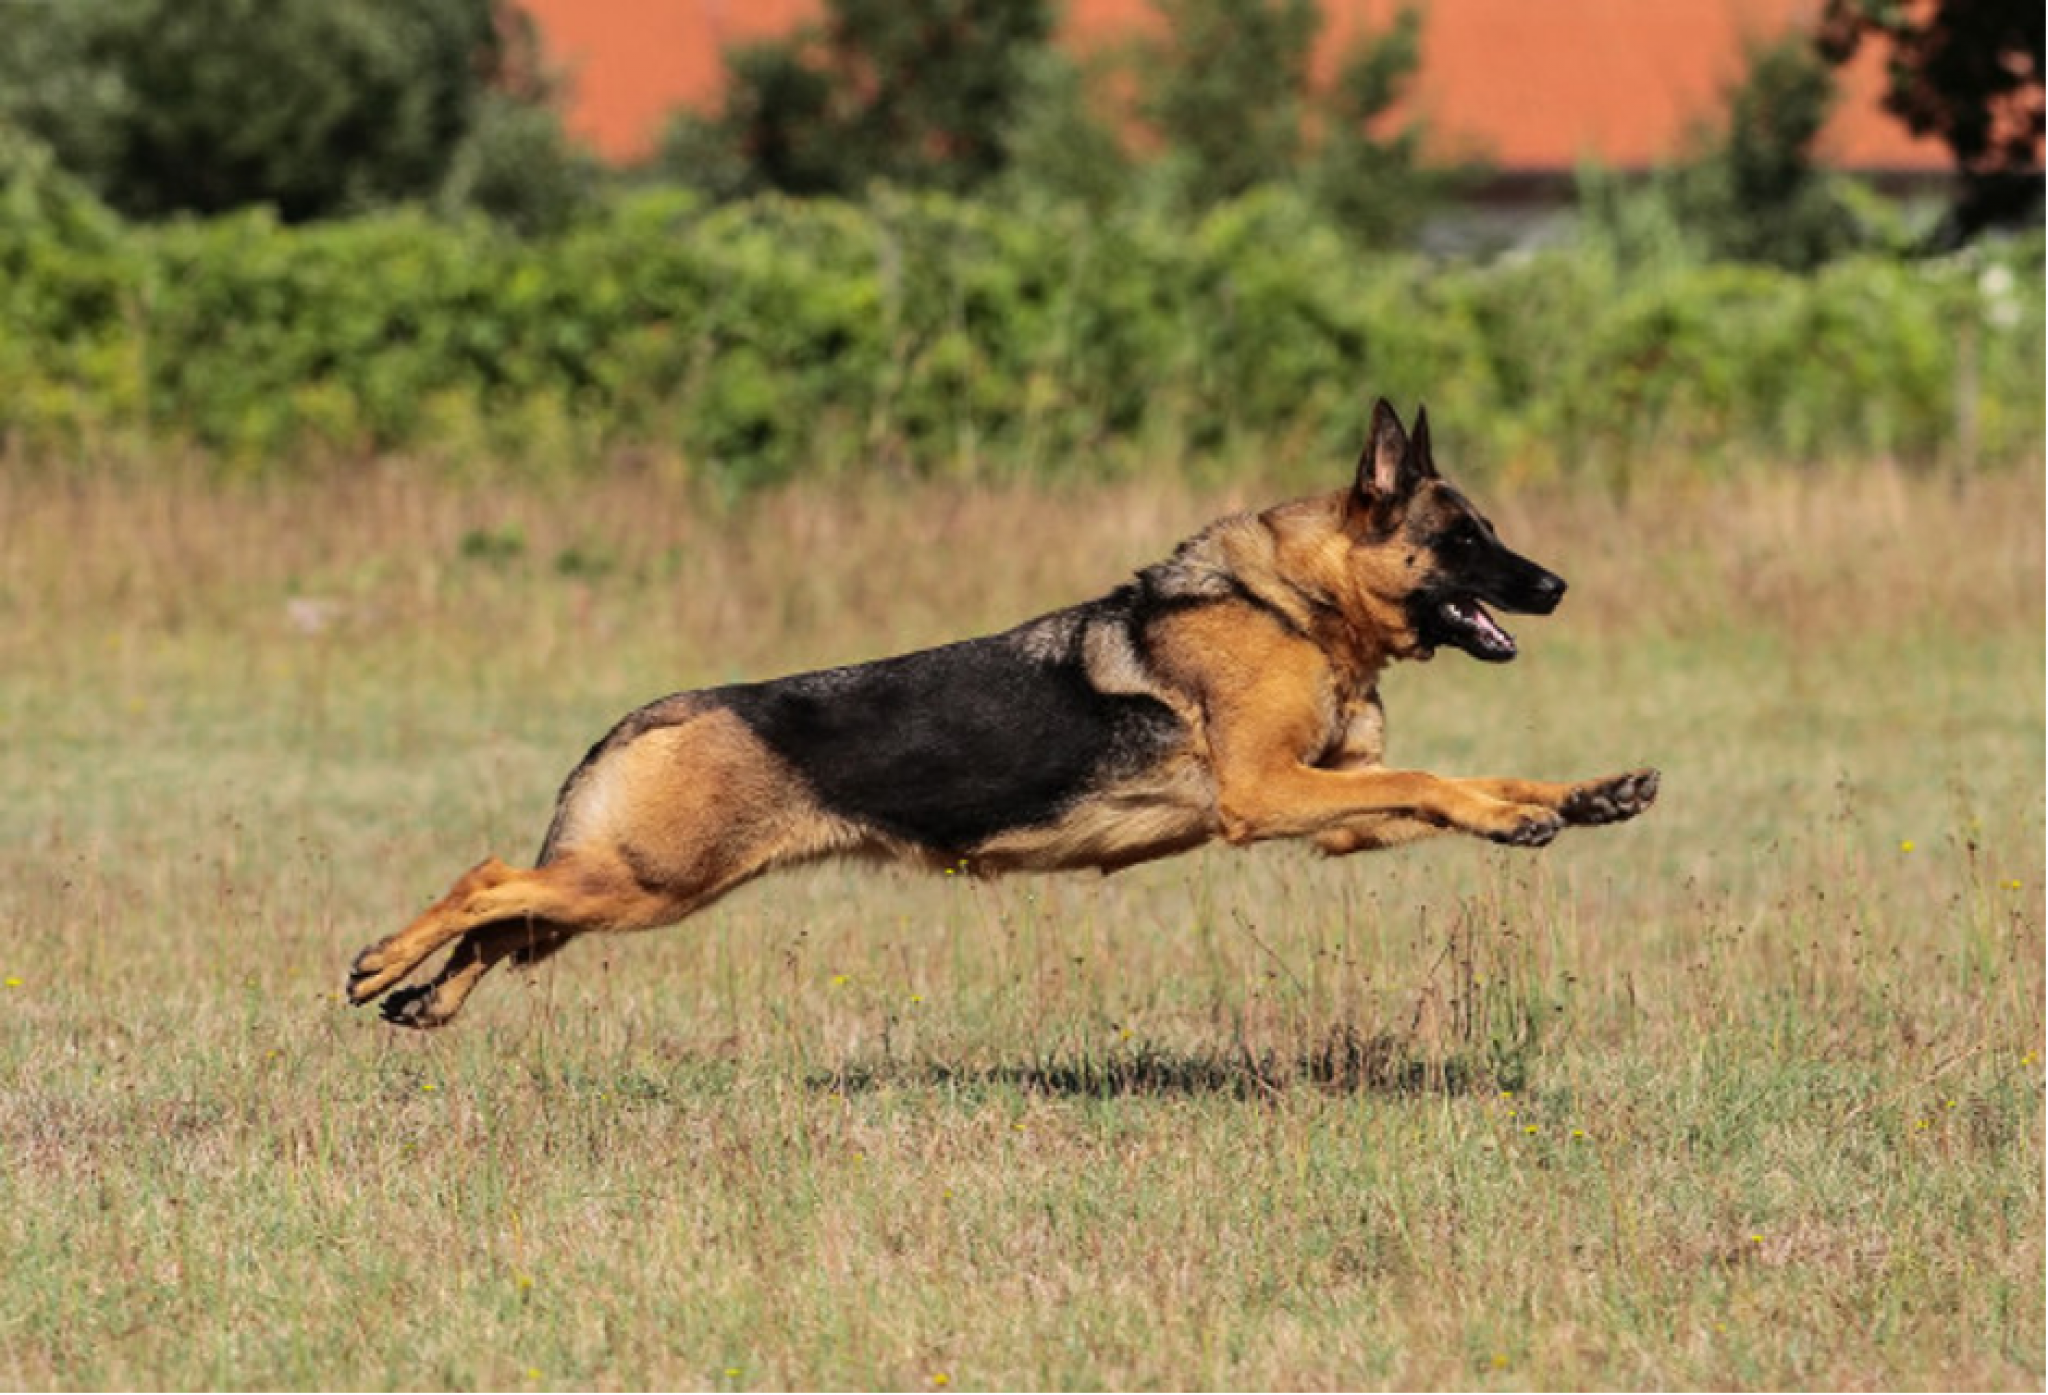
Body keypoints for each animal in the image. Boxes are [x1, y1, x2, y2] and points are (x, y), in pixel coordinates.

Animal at [348, 397, 1662, 1028]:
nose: (1555, 586)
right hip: (641, 886)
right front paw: (1525, 814)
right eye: (1463, 541)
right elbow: (1436, 782)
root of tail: (651, 714)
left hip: (622, 893)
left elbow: (1466, 782)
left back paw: (423, 999)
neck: (1295, 604)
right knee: (482, 880)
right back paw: (380, 962)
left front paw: (1581, 799)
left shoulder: (1332, 812)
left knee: (505, 922)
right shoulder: (1269, 797)